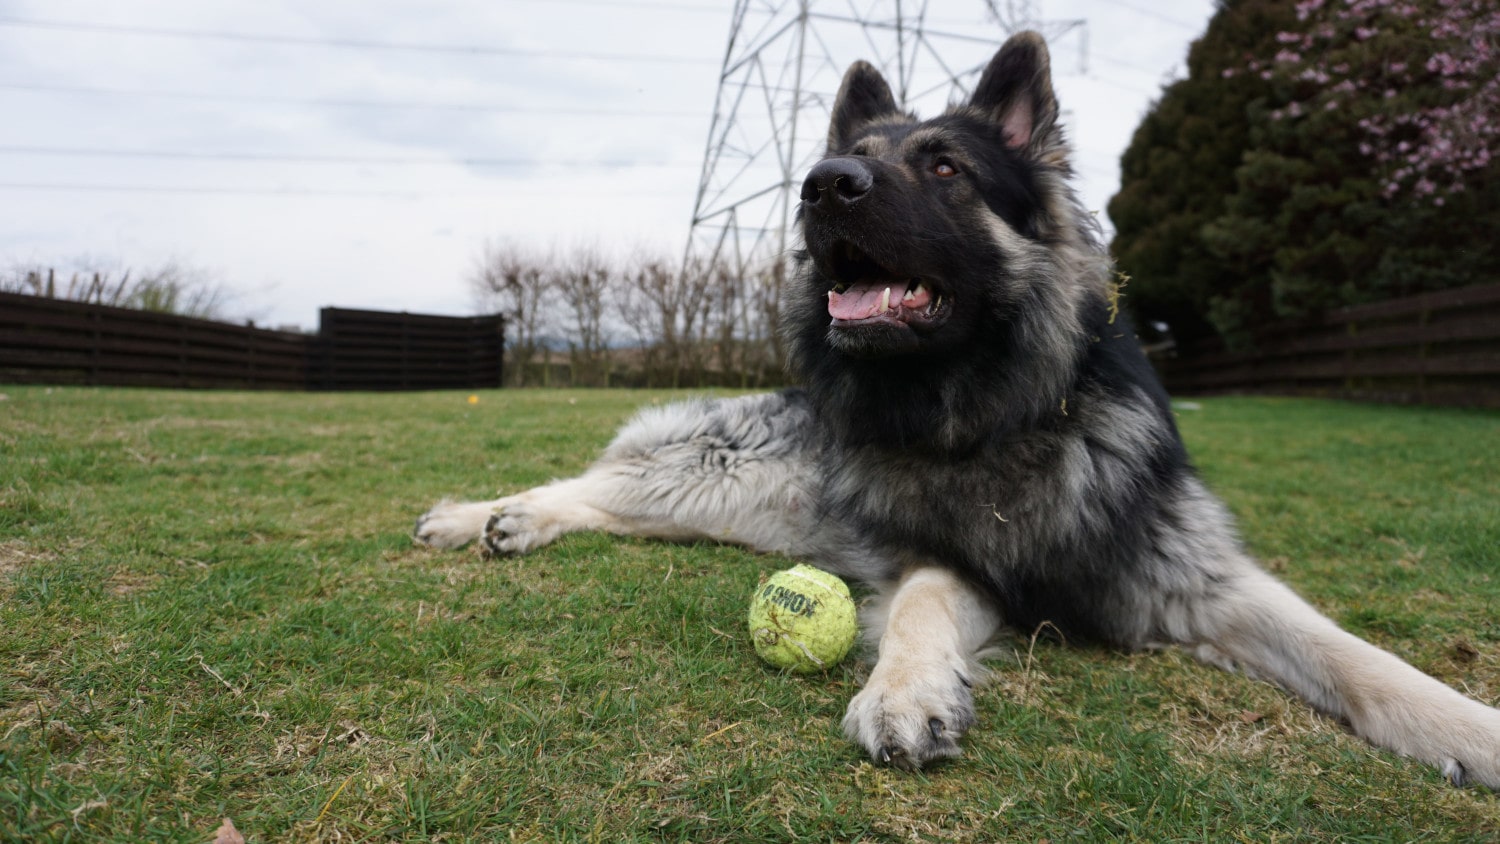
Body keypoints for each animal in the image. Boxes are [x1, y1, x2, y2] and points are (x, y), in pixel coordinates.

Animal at [417, 31, 1500, 785]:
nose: (820, 184)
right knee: (600, 483)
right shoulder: (949, 561)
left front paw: (1471, 730)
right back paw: (489, 515)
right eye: (849, 159)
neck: (992, 413)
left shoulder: (1194, 578)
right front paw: (904, 693)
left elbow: (1357, 657)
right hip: (723, 475)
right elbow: (923, 601)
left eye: (945, 168)